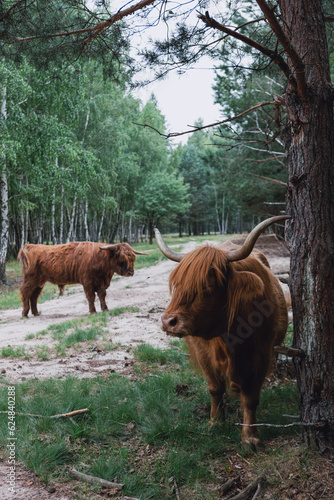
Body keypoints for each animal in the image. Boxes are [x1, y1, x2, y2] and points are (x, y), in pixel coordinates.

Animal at [17, 239, 145, 316]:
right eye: (121, 258)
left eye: (132, 258)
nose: (131, 272)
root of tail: (30, 246)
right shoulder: (87, 281)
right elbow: (91, 297)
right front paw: (93, 311)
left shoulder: (101, 282)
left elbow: (102, 295)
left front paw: (105, 309)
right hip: (31, 278)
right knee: (25, 292)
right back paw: (25, 313)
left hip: (39, 281)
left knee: (34, 296)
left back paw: (36, 313)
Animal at [155, 216, 288, 446]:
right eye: (177, 284)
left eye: (208, 286)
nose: (168, 321)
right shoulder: (203, 353)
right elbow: (215, 388)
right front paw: (215, 421)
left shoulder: (261, 355)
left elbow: (251, 398)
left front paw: (250, 437)